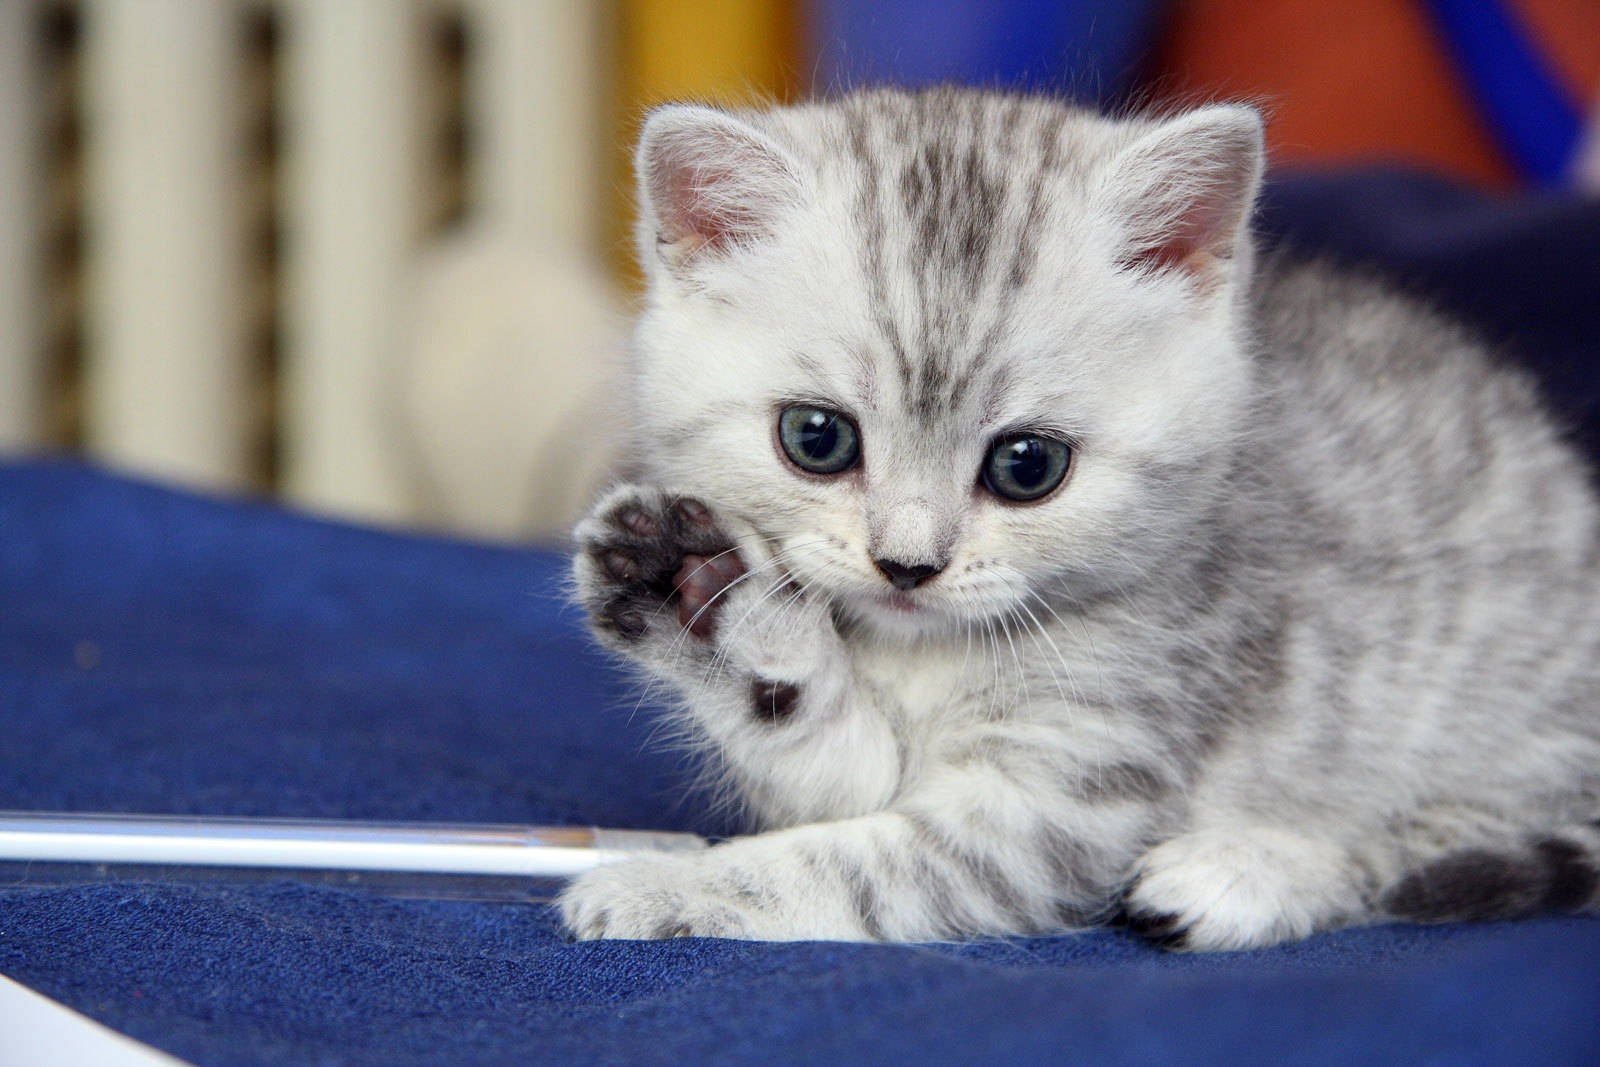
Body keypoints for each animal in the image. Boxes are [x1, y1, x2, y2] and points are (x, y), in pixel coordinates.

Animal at [560, 87, 1600, 947]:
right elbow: (831, 776)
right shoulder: (867, 769)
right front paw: (710, 604)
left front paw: (658, 885)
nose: (907, 564)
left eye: (1029, 466)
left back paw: (1245, 870)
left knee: (1425, 848)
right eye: (816, 439)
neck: (919, 656)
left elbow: (848, 866)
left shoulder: (1069, 791)